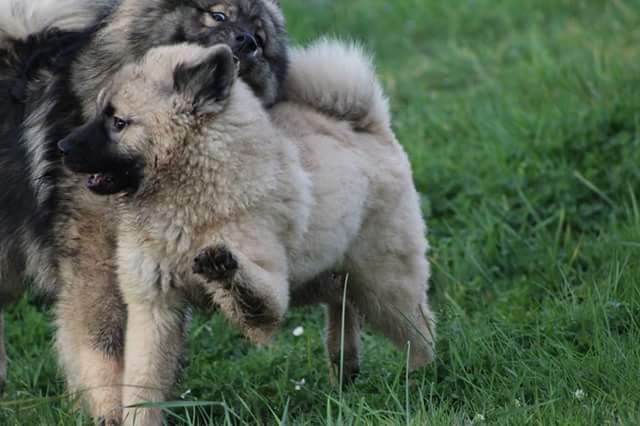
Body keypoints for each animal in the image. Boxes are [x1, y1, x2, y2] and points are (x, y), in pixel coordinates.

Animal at [0, 0, 288, 422]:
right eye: (218, 15)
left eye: (261, 36)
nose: (247, 41)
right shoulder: (98, 264)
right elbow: (103, 347)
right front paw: (106, 413)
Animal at [59, 41, 436, 425]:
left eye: (118, 122)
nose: (62, 147)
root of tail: (369, 127)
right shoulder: (154, 307)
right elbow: (143, 383)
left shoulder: (266, 281)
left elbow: (252, 294)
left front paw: (223, 269)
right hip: (321, 275)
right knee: (343, 304)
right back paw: (345, 368)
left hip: (383, 285)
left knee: (419, 331)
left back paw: (421, 379)